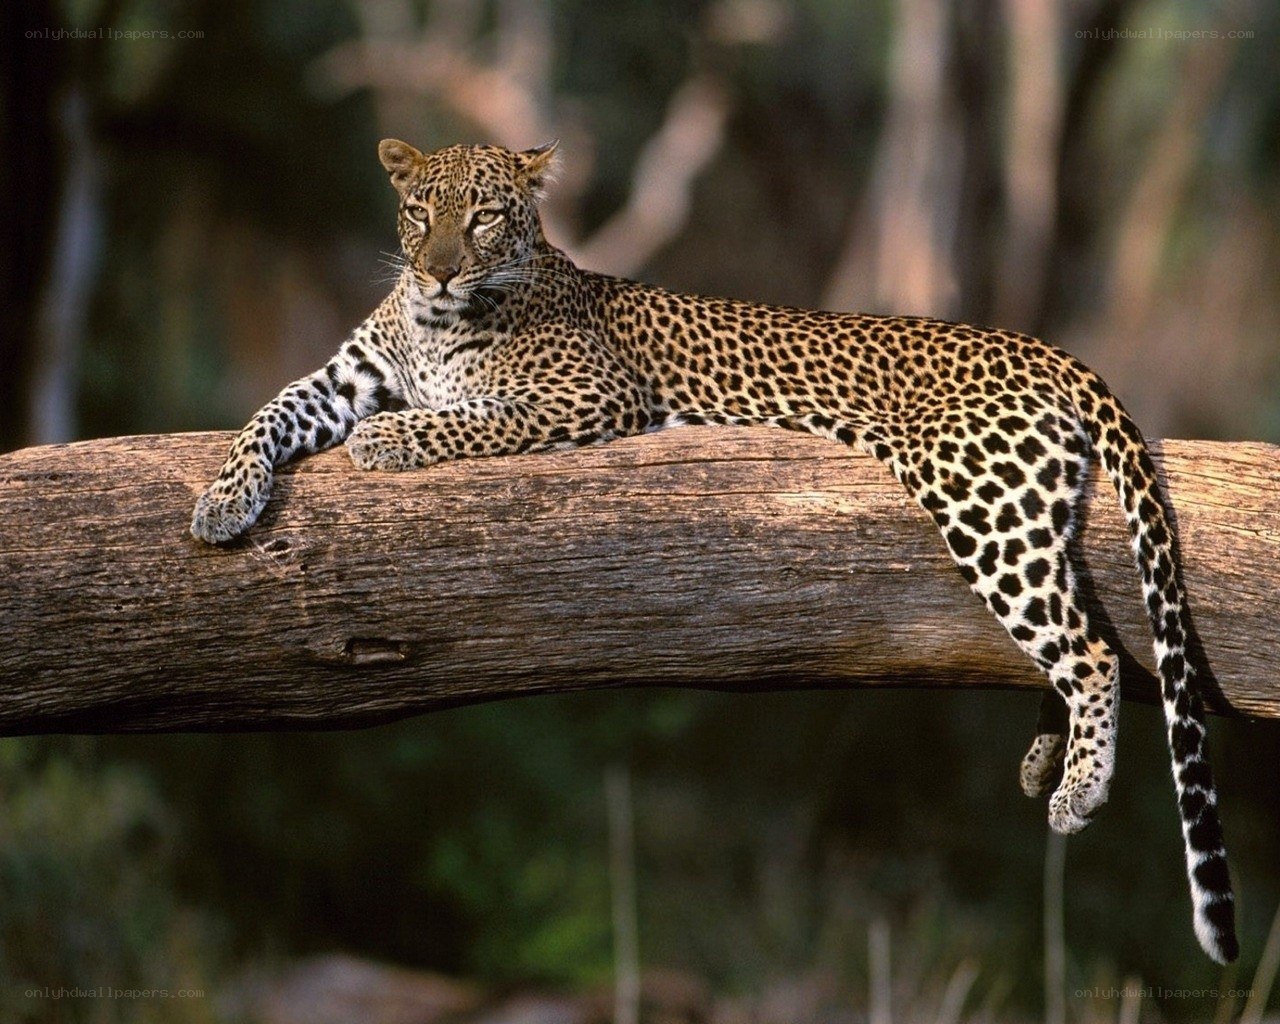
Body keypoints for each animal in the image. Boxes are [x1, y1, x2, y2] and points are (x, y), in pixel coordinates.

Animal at [191, 139, 1237, 963]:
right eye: (420, 212)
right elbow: (268, 413)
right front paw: (220, 503)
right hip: (1023, 510)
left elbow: (457, 420)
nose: (441, 270)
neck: (434, 319)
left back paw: (1078, 792)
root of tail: (1043, 348)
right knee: (1072, 625)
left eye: (484, 218)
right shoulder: (341, 379)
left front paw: (387, 441)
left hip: (979, 499)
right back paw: (1043, 760)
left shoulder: (585, 397)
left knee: (1091, 649)